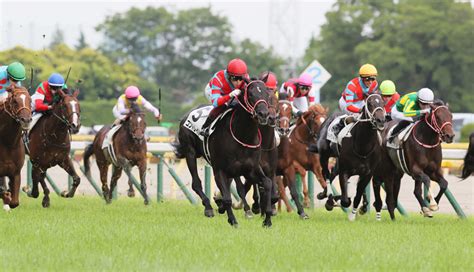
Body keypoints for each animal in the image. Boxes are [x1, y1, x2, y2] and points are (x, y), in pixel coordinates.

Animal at [173, 79, 274, 227]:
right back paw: (208, 208)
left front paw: (267, 219)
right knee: (196, 183)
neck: (243, 135)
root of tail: (186, 115)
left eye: (267, 93)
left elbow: (266, 183)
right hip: (190, 153)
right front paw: (232, 220)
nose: (263, 114)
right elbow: (227, 198)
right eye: (250, 94)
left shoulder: (250, 169)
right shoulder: (219, 170)